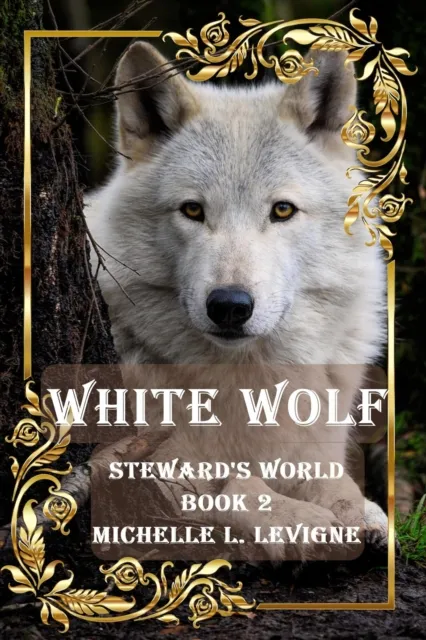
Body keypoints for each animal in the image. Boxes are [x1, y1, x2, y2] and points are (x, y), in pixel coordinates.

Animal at [86, 42, 389, 561]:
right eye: (192, 210)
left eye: (282, 210)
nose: (229, 305)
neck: (249, 382)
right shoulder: (151, 465)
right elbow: (235, 484)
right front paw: (302, 522)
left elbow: (339, 485)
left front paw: (362, 514)